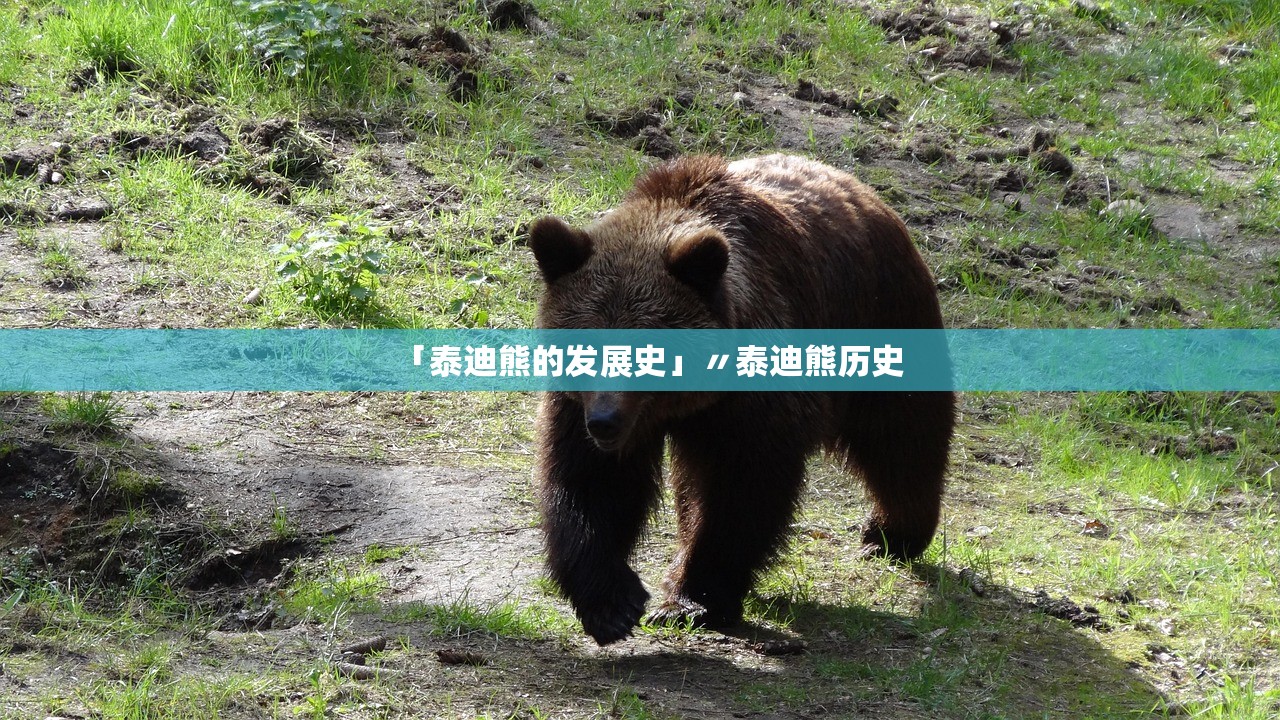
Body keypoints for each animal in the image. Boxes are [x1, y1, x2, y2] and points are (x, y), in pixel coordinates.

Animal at [527, 153, 955, 645]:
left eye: (647, 352)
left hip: (884, 314)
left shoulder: (754, 400)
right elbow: (591, 484)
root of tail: (858, 186)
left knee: (903, 437)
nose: (604, 422)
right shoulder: (581, 408)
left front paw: (692, 598)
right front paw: (613, 604)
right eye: (588, 347)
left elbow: (741, 490)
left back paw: (891, 533)